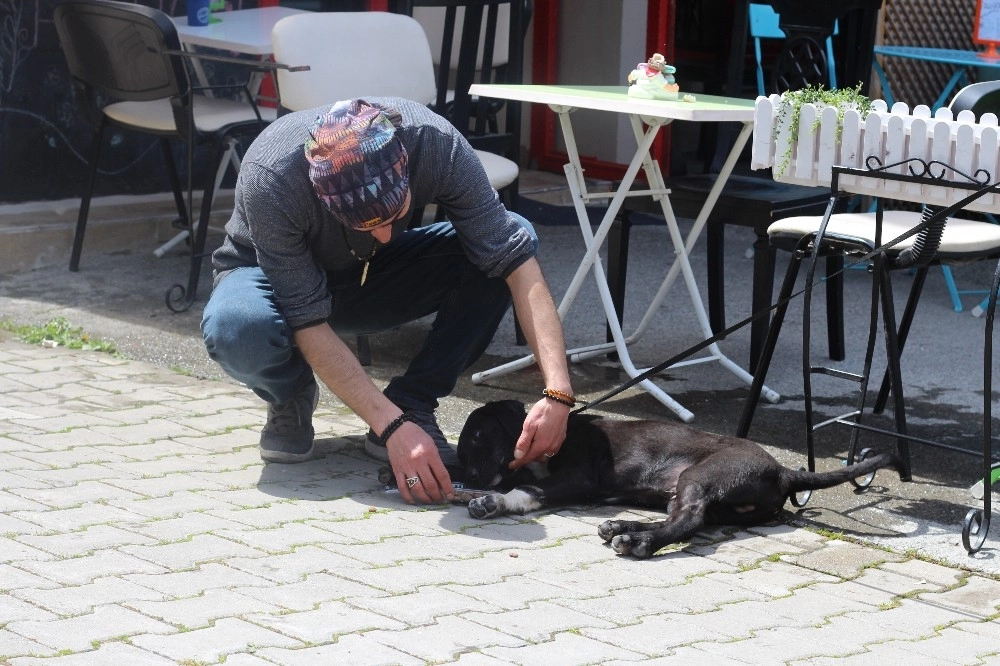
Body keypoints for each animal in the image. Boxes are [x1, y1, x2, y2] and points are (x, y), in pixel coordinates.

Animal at [458, 396, 904, 556]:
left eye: (479, 435)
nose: (466, 476)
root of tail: (782, 470)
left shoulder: (579, 476)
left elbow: (531, 487)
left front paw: (495, 500)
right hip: (700, 495)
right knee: (688, 518)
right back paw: (624, 528)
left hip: (700, 475)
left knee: (689, 519)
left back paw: (637, 543)